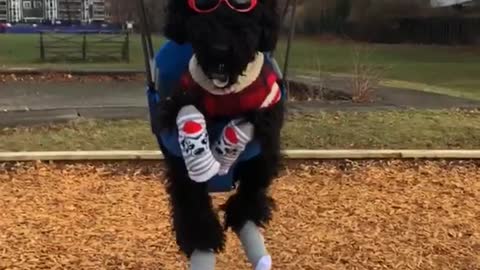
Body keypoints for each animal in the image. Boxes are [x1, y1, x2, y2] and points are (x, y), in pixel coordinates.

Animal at [156, 0, 284, 268]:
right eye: (201, 5)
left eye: (243, 5)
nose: (220, 48)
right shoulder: (179, 101)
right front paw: (202, 236)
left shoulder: (270, 108)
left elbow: (257, 164)